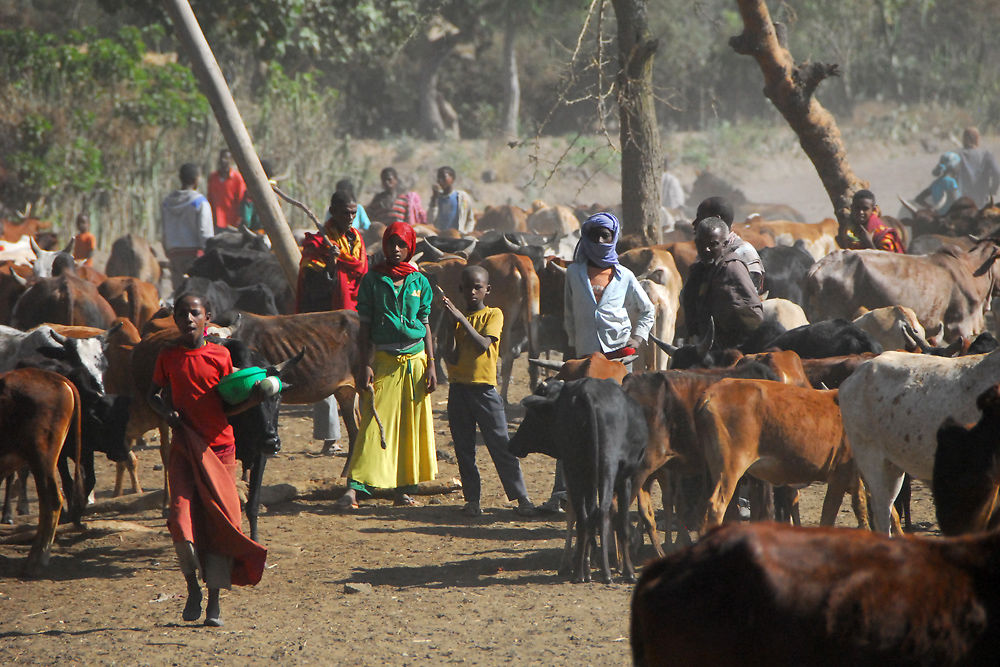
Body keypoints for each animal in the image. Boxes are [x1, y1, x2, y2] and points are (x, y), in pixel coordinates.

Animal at [508, 380, 648, 584]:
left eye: (531, 415)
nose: (512, 444)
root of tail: (586, 393)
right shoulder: (625, 479)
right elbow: (620, 522)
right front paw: (627, 571)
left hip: (576, 470)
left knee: (584, 517)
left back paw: (579, 573)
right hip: (606, 466)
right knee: (601, 512)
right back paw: (605, 574)